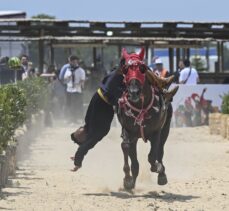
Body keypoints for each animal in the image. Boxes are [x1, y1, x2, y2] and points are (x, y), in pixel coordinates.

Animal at [117, 48, 176, 190]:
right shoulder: (128, 130)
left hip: (166, 128)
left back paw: (161, 174)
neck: (141, 108)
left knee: (160, 150)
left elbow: (152, 155)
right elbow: (126, 147)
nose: (133, 92)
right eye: (125, 69)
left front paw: (158, 168)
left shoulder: (156, 132)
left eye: (142, 68)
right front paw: (128, 179)